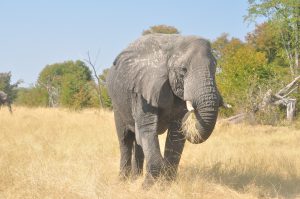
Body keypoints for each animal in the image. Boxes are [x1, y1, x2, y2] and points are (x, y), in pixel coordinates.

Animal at [107, 33, 223, 187]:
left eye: (215, 68)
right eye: (183, 70)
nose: (190, 114)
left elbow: (175, 134)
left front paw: (165, 185)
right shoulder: (142, 91)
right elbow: (148, 129)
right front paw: (147, 187)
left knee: (138, 142)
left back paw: (135, 178)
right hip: (118, 106)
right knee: (125, 140)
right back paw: (123, 181)